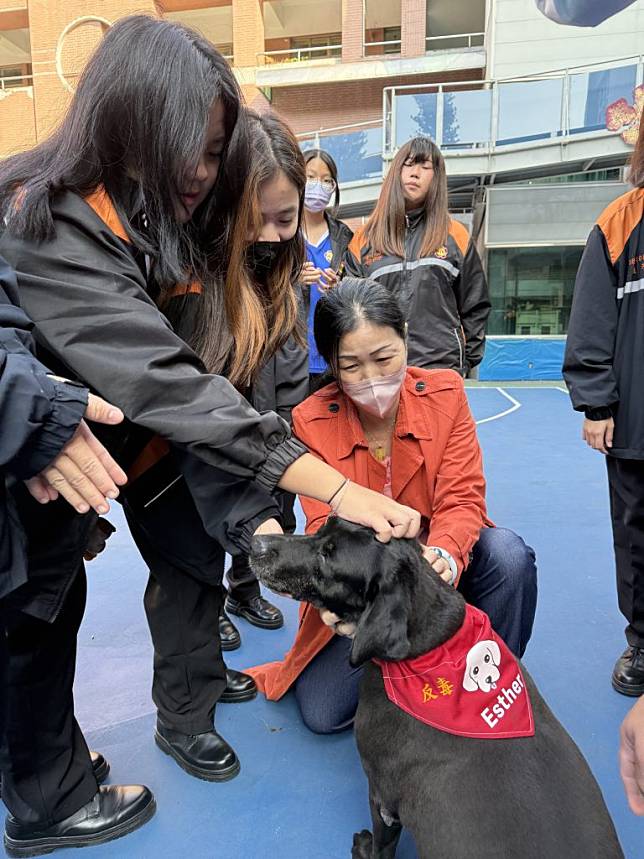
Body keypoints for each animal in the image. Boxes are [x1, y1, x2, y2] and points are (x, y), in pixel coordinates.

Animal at [252, 516, 624, 859]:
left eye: (328, 556)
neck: (433, 645)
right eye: (322, 528)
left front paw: (366, 850)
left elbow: (384, 846)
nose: (256, 543)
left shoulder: (382, 795)